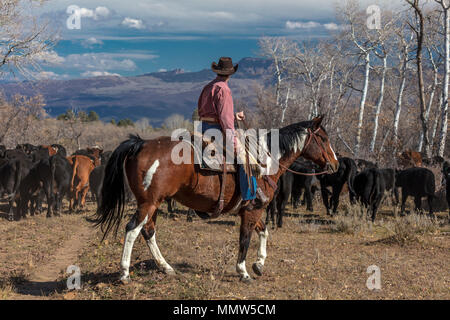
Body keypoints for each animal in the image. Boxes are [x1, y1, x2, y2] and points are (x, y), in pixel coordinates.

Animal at [91, 116, 338, 284]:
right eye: (324, 138)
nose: (335, 164)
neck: (264, 162)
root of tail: (140, 143)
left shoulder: (253, 209)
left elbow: (264, 231)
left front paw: (259, 264)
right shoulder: (252, 211)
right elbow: (245, 239)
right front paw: (243, 271)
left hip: (152, 204)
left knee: (148, 231)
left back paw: (166, 267)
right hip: (148, 203)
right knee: (133, 229)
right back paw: (124, 273)